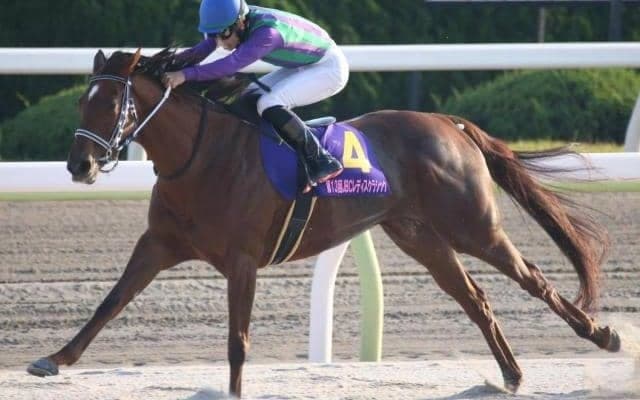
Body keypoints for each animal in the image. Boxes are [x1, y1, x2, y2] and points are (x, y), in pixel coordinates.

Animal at [27, 48, 621, 398]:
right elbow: (110, 302)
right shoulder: (158, 243)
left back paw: (602, 335)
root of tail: (447, 122)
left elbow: (237, 339)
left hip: (473, 226)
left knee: (533, 279)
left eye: (111, 105)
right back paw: (511, 374)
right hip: (421, 237)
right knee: (476, 298)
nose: (78, 165)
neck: (200, 155)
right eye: (82, 102)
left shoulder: (243, 261)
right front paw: (55, 359)